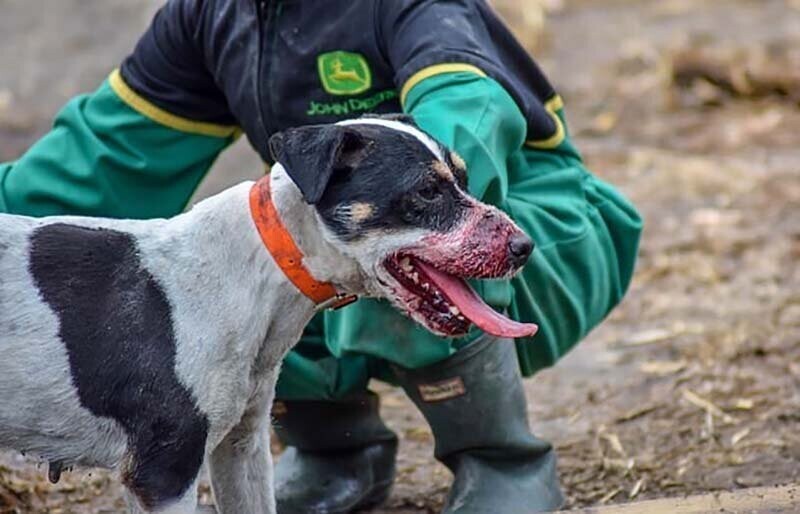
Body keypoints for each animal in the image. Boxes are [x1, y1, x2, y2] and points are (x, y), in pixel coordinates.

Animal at [0, 117, 540, 512]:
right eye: (427, 191)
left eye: (464, 180)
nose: (525, 246)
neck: (256, 269)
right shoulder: (164, 474)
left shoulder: (242, 449)